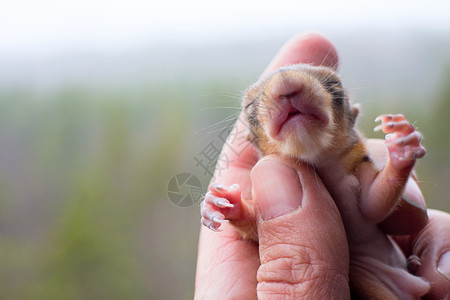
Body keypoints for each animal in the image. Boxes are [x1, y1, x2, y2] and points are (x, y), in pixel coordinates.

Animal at [200, 62, 428, 298]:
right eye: (249, 106)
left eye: (335, 86)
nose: (286, 83)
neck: (318, 162)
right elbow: (253, 224)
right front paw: (223, 204)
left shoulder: (356, 171)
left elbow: (374, 203)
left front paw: (402, 149)